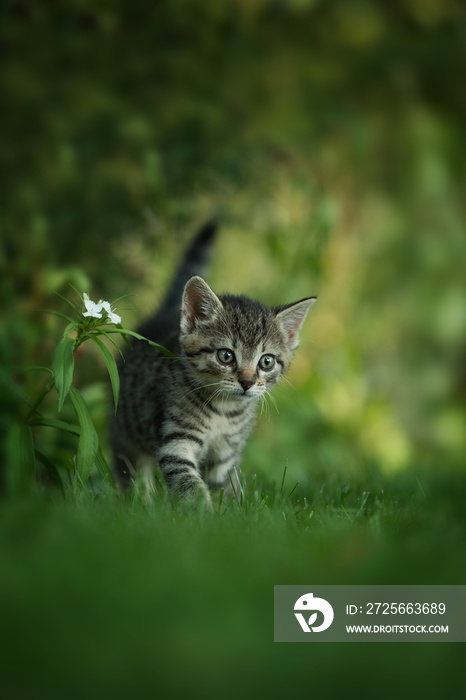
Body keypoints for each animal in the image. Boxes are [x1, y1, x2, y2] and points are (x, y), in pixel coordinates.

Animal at [112, 221, 316, 500]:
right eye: (226, 355)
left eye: (266, 362)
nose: (247, 382)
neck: (223, 411)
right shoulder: (175, 442)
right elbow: (189, 483)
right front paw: (200, 508)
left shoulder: (227, 455)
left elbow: (226, 488)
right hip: (124, 428)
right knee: (130, 469)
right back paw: (140, 500)